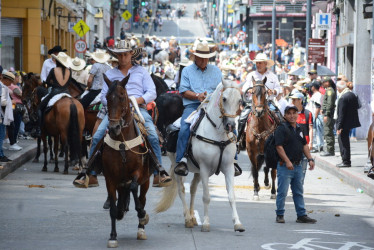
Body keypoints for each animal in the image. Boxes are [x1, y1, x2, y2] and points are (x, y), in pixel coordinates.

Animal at [101, 74, 153, 248]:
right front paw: (112, 236)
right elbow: (112, 209)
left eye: (123, 97)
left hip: (146, 181)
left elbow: (134, 187)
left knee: (141, 197)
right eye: (107, 98)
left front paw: (142, 215)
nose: (114, 128)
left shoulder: (138, 172)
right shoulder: (110, 179)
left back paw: (141, 229)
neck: (122, 143)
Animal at [155, 80, 245, 232]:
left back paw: (192, 217)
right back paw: (187, 218)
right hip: (178, 166)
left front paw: (238, 223)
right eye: (224, 98)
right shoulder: (204, 167)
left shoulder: (228, 168)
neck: (218, 135)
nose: (231, 125)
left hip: (197, 171)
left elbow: (231, 196)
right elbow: (206, 197)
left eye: (240, 100)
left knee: (192, 189)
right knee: (181, 190)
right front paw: (206, 224)